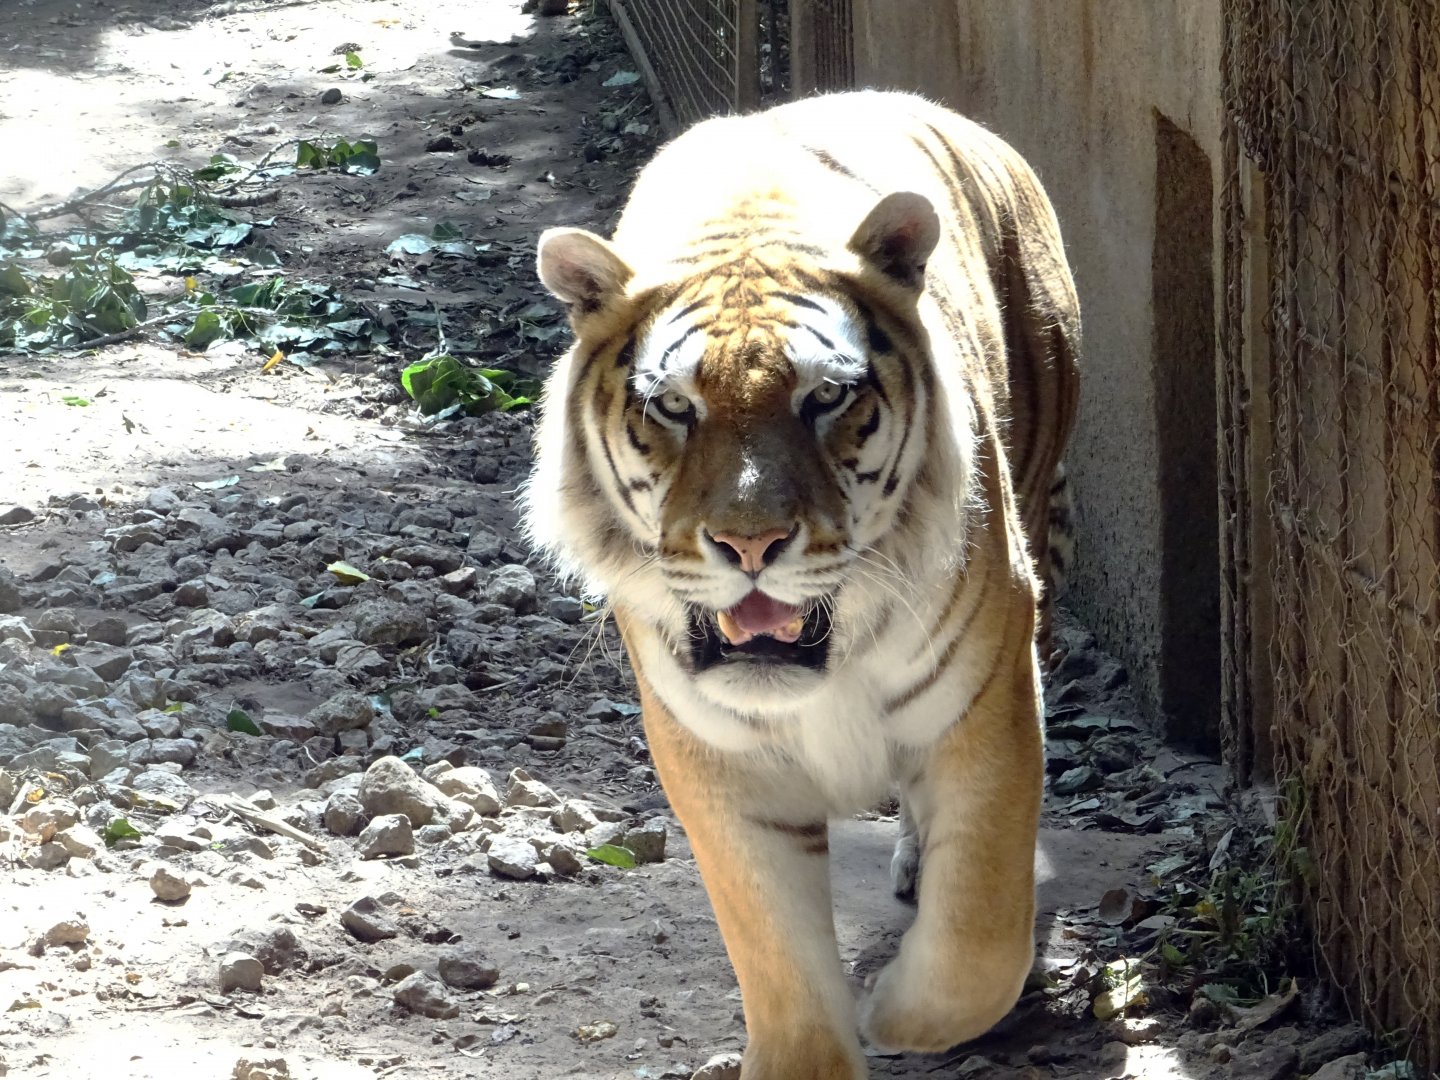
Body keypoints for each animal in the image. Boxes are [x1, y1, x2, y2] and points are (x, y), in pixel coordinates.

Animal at [522, 90, 1080, 1079]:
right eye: (673, 406)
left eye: (825, 398)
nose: (751, 544)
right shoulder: (716, 759)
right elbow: (774, 950)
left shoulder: (985, 703)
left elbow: (980, 936)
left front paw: (899, 1015)